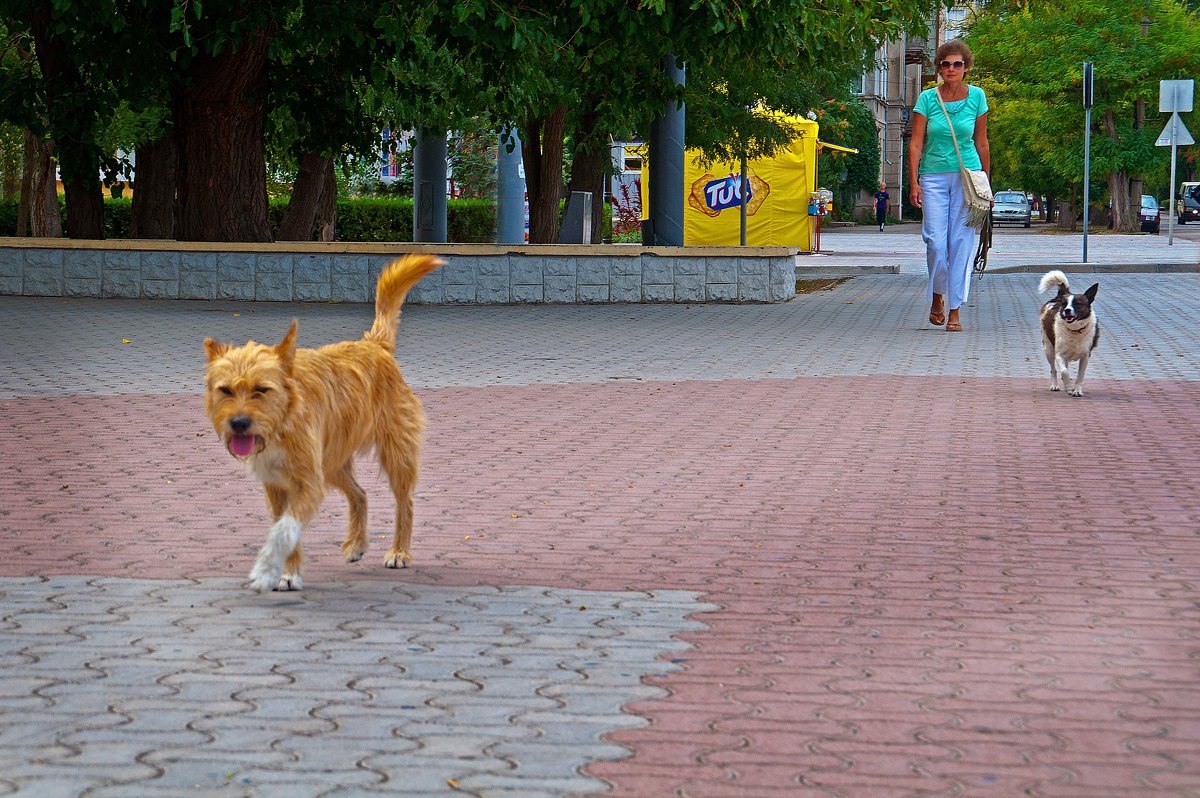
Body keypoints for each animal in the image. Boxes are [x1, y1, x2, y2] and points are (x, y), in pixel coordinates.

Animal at [204, 255, 444, 590]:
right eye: (225, 390)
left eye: (261, 390)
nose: (238, 423)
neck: (283, 424)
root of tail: (374, 344)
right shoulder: (277, 486)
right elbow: (285, 527)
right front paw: (288, 571)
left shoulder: (308, 482)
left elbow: (284, 530)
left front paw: (268, 569)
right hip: (333, 463)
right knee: (360, 494)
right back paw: (356, 543)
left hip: (396, 454)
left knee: (405, 503)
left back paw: (399, 551)